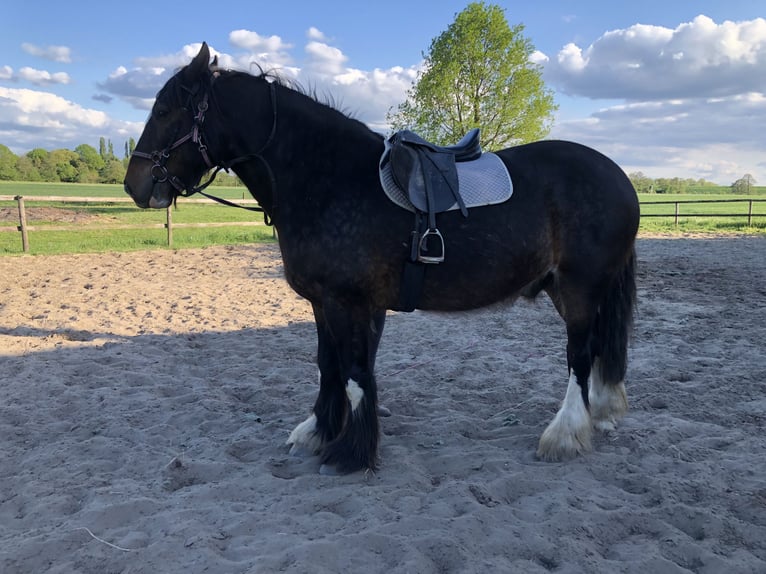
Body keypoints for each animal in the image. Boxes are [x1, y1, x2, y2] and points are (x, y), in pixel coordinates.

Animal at [124, 43, 640, 474]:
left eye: (165, 110)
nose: (134, 185)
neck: (328, 178)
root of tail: (618, 175)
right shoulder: (325, 304)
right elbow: (329, 365)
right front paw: (320, 432)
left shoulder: (347, 302)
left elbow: (353, 373)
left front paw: (350, 453)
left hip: (579, 288)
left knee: (580, 355)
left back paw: (565, 434)